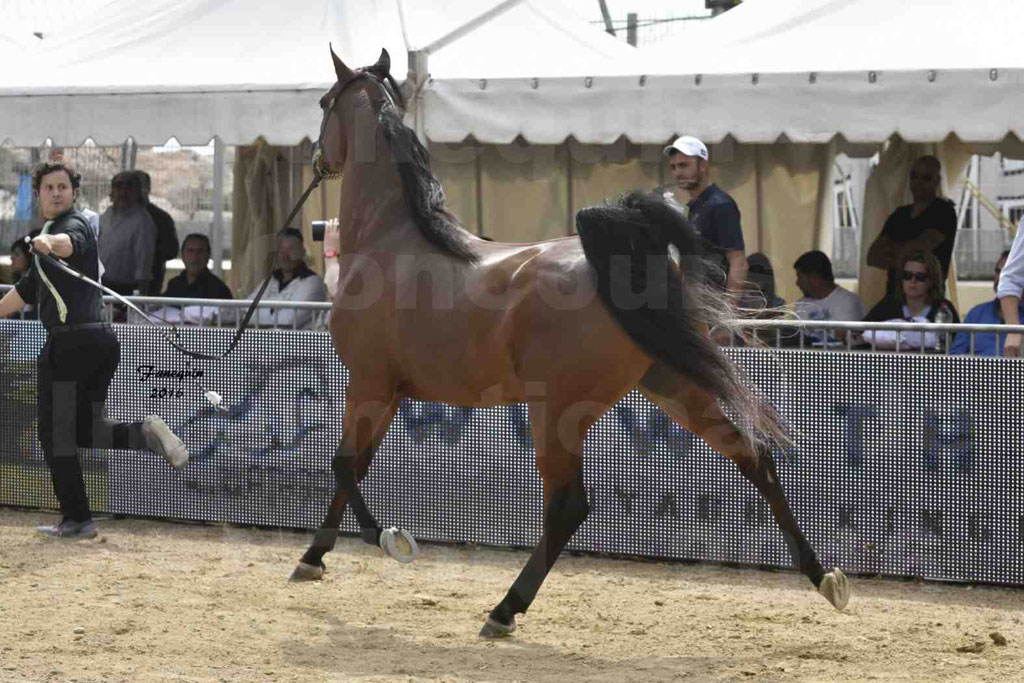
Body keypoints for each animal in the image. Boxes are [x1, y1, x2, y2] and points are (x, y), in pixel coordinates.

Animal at [290, 46, 847, 634]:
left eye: (324, 103)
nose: (316, 158)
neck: (392, 239)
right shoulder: (391, 392)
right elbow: (355, 466)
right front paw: (313, 557)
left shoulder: (368, 383)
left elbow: (342, 465)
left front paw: (388, 540)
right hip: (673, 385)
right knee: (754, 457)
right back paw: (824, 577)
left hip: (557, 411)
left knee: (568, 505)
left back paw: (505, 609)